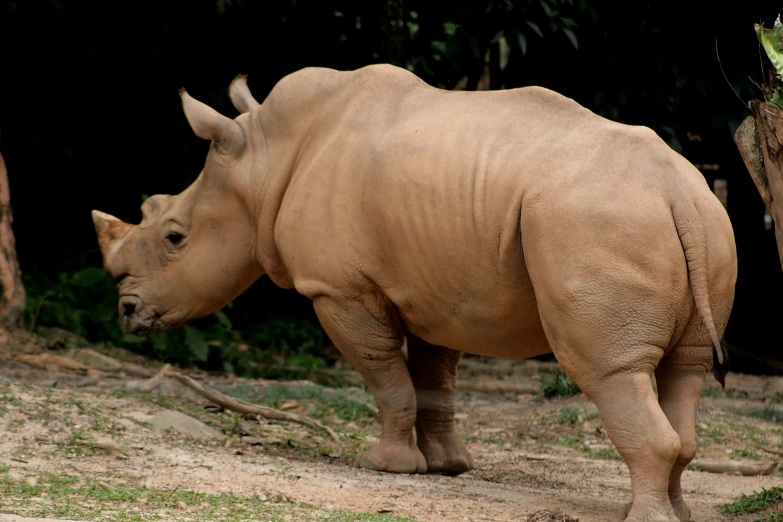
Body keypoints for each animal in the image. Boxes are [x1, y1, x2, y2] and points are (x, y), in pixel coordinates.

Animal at [92, 65, 736, 520]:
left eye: (174, 237)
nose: (127, 313)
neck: (264, 164)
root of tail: (674, 188)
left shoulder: (339, 289)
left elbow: (385, 376)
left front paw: (385, 466)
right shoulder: (439, 289)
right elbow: (434, 379)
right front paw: (447, 467)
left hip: (595, 223)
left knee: (607, 369)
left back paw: (645, 517)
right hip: (708, 221)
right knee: (686, 370)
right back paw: (671, 508)